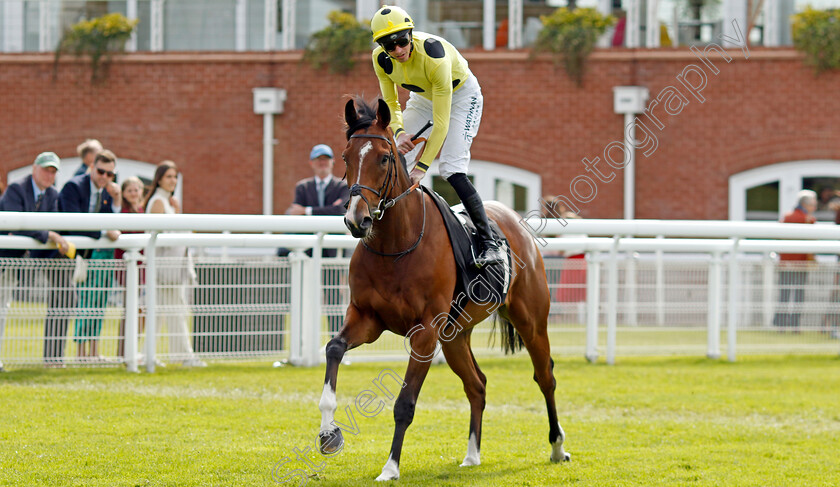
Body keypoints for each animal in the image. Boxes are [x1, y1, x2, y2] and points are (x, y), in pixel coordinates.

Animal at [316, 97, 572, 482]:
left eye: (385, 157)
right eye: (346, 157)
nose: (356, 220)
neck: (396, 243)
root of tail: (516, 223)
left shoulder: (425, 332)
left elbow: (404, 403)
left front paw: (390, 468)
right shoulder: (367, 318)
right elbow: (333, 348)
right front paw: (329, 432)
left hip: (531, 321)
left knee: (545, 377)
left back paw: (557, 447)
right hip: (456, 336)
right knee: (477, 384)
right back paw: (472, 455)